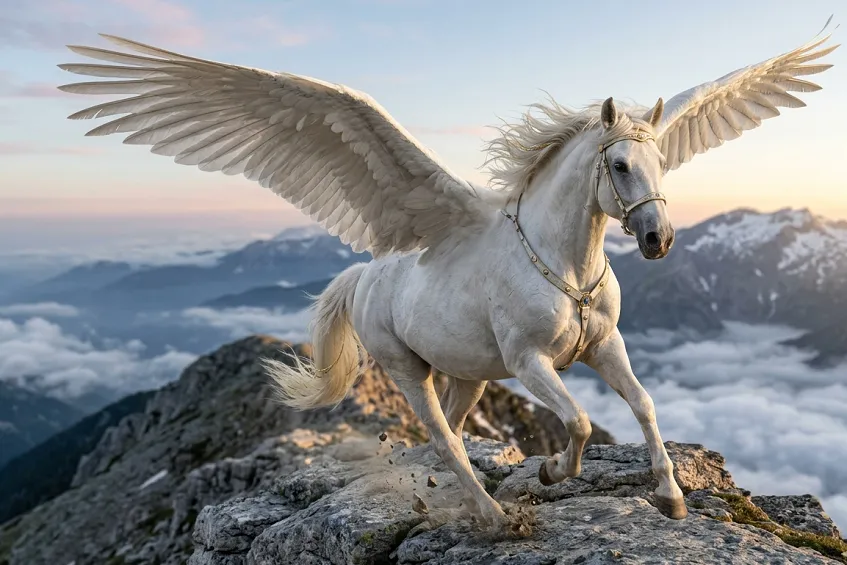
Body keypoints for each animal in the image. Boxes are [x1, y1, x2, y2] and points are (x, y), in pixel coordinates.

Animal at [57, 21, 838, 530]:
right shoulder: (530, 362)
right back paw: (490, 514)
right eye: (618, 165)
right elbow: (579, 421)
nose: (658, 239)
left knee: (457, 433)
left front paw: (670, 496)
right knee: (442, 436)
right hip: (410, 369)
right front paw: (552, 473)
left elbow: (643, 406)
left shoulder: (603, 347)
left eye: (661, 162)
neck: (560, 259)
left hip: (465, 372)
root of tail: (367, 277)